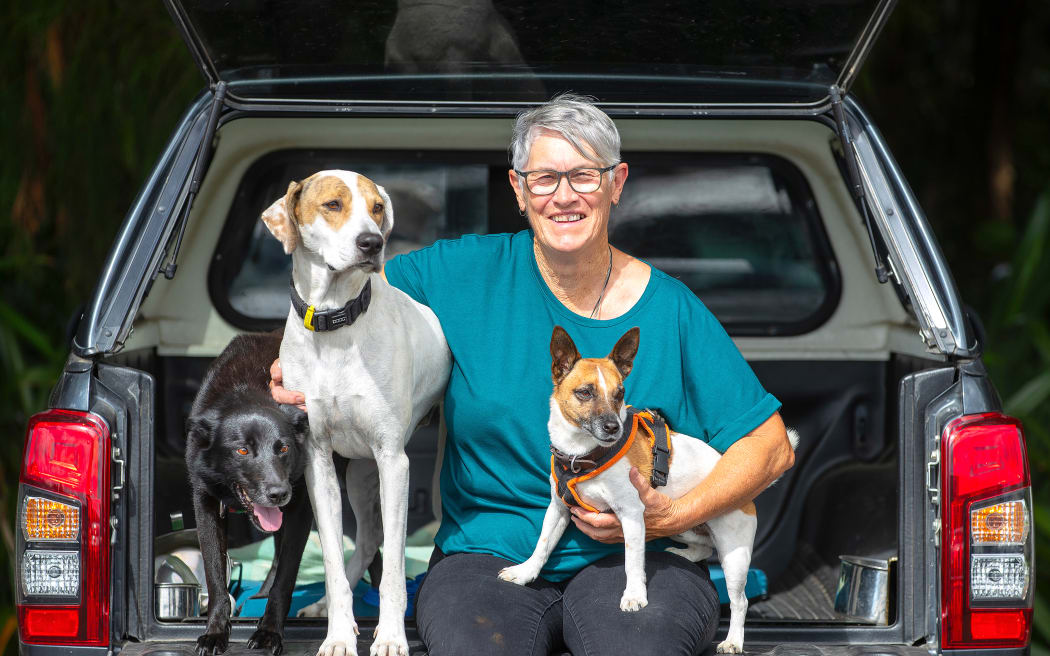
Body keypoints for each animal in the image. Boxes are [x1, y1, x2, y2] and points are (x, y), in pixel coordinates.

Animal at [186, 331, 308, 654]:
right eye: (242, 450)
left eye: (283, 448)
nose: (279, 493)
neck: (246, 391)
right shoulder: (205, 503)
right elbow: (216, 578)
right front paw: (215, 633)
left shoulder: (302, 505)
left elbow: (285, 579)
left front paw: (269, 633)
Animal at [260, 170, 449, 654]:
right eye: (332, 204)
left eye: (377, 208)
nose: (371, 243)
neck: (335, 324)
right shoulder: (318, 462)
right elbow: (330, 557)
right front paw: (340, 635)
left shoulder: (393, 461)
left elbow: (396, 569)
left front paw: (392, 637)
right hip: (361, 475)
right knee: (365, 540)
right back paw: (325, 607)